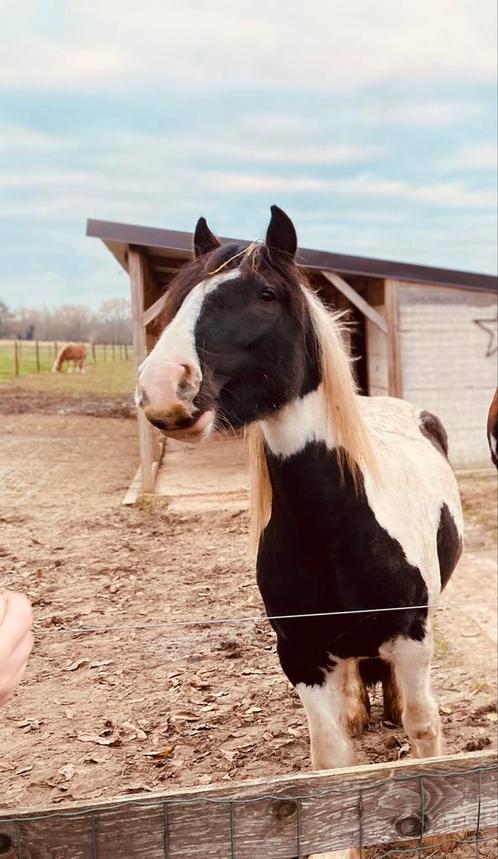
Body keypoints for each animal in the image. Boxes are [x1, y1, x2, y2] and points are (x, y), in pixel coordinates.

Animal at [136, 208, 462, 859]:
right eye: (181, 297)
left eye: (265, 294)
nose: (162, 387)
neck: (338, 530)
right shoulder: (302, 655)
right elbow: (332, 759)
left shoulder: (414, 638)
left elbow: (422, 726)